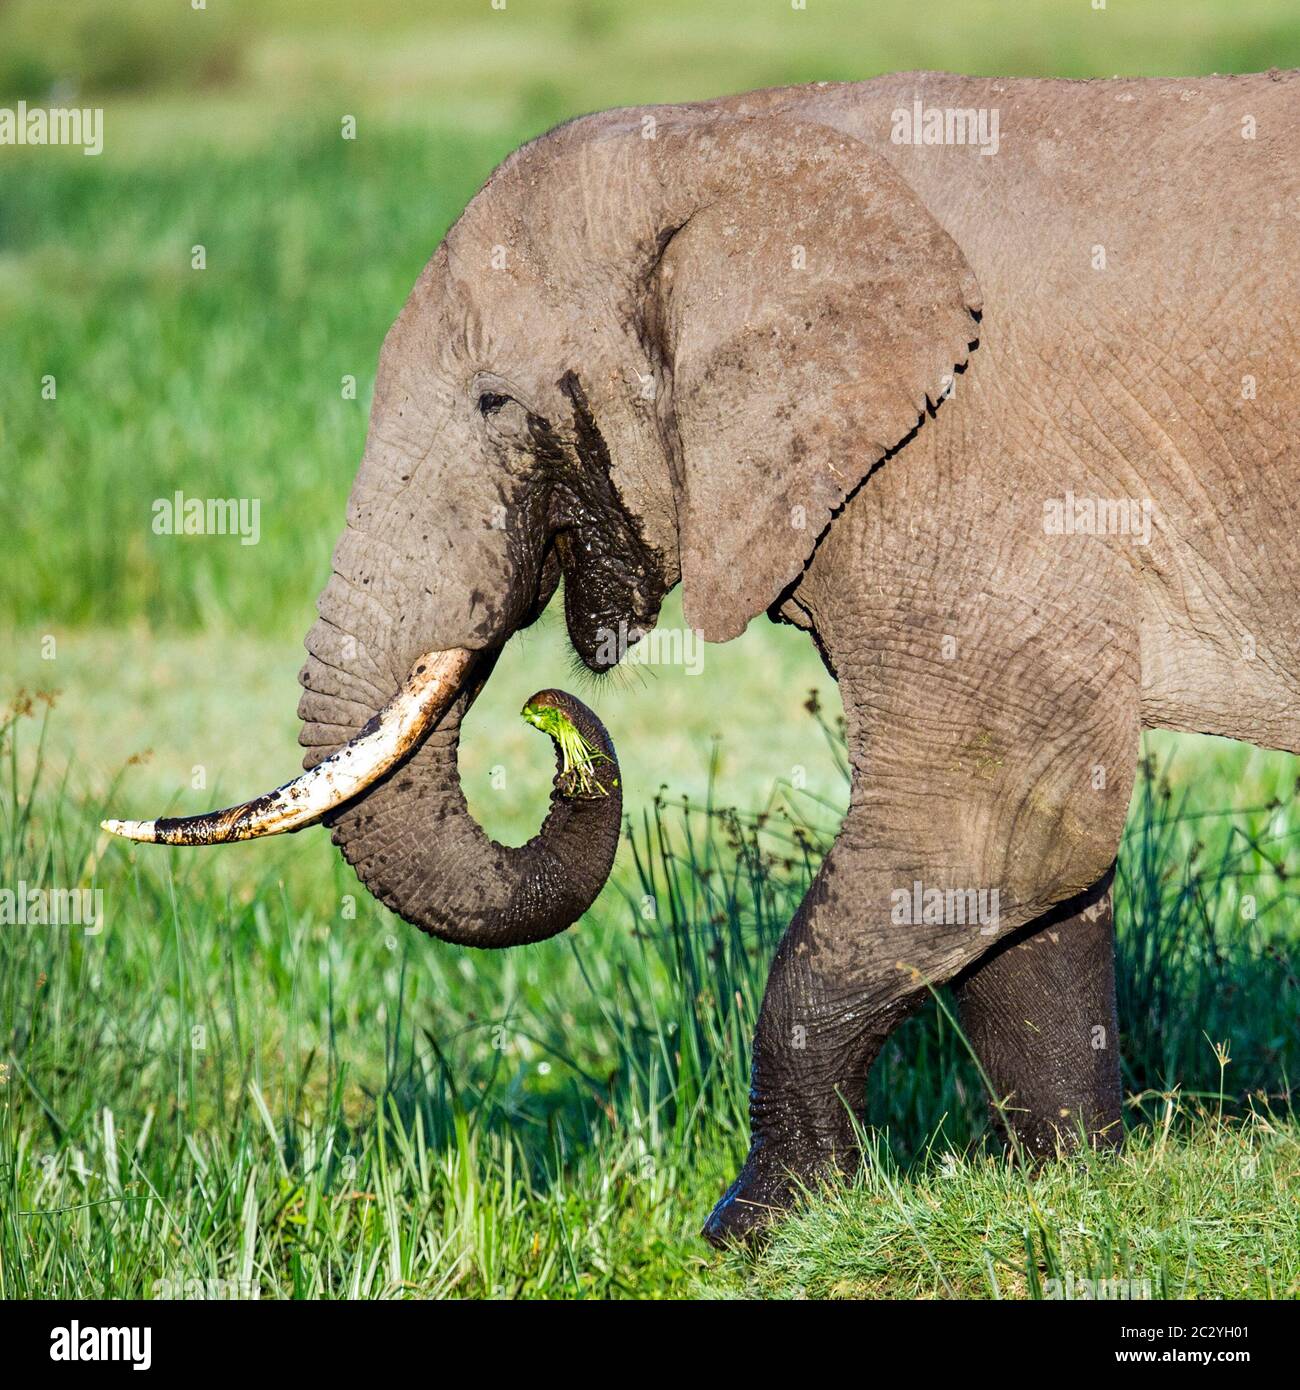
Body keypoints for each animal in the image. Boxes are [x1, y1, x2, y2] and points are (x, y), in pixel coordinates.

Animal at [109, 70, 1300, 1251]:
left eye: (496, 403)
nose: (546, 715)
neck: (738, 135)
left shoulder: (965, 463)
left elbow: (992, 808)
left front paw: (753, 1229)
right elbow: (1032, 871)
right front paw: (1073, 1193)